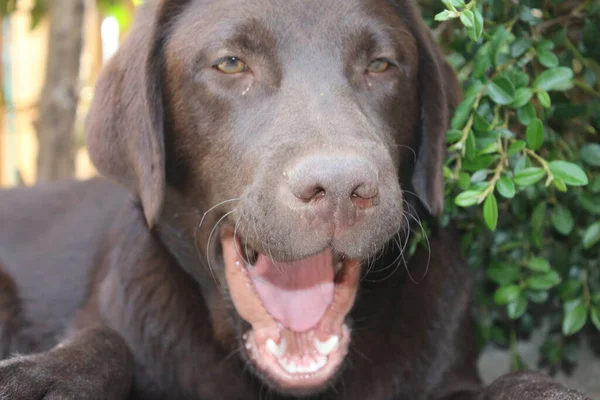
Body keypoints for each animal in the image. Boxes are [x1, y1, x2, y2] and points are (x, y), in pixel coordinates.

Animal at [0, 0, 592, 400]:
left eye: (382, 65)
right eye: (231, 63)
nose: (341, 188)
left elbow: (520, 379)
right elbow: (105, 341)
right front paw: (43, 377)